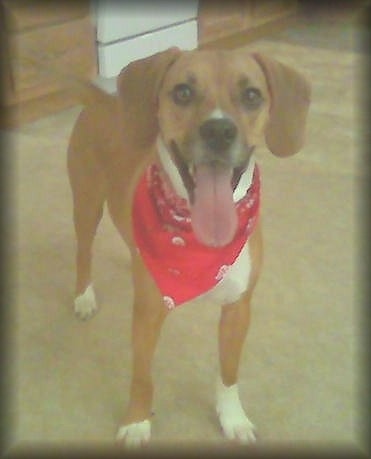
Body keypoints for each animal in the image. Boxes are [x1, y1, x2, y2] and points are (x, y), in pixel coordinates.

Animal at [67, 45, 310, 446]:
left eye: (251, 95)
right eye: (182, 92)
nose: (219, 130)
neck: (200, 243)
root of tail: (100, 100)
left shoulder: (238, 310)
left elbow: (228, 373)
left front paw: (233, 418)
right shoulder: (147, 315)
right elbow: (142, 377)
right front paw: (137, 421)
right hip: (86, 206)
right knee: (83, 253)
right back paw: (84, 297)